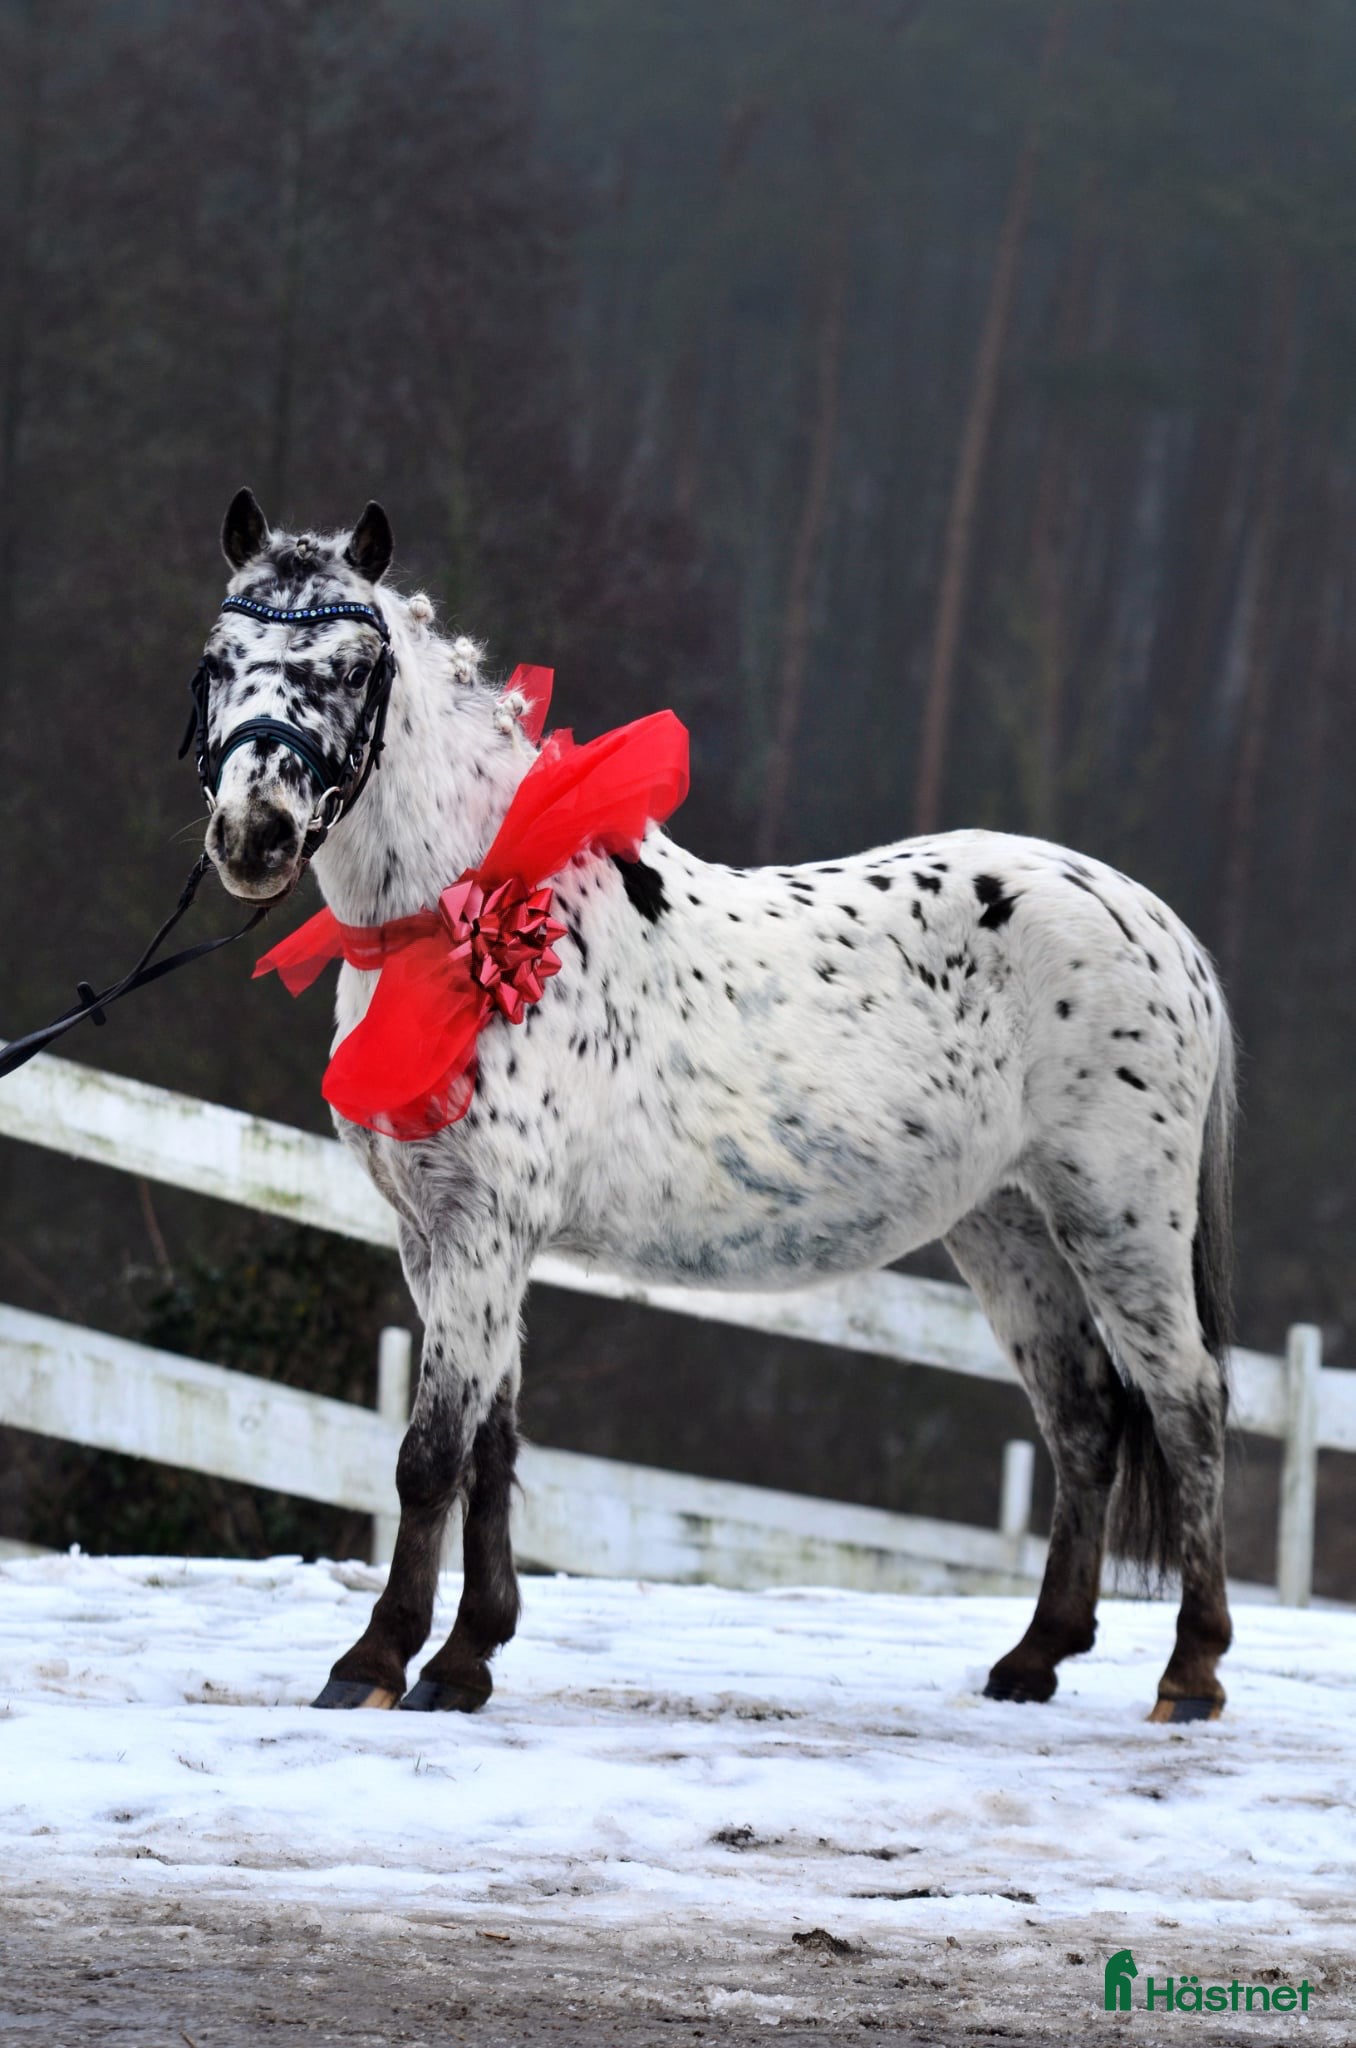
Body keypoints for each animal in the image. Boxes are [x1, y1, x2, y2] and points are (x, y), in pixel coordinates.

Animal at [197, 487, 1236, 1723]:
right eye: (218, 658)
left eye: (356, 669)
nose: (252, 834)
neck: (473, 915)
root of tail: (1161, 927)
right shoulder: (442, 1238)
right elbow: (494, 1444)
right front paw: (469, 1655)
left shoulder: (484, 1230)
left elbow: (430, 1453)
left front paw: (379, 1660)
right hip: (1010, 1226)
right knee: (1082, 1418)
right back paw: (1035, 1657)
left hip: (1120, 1219)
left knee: (1188, 1405)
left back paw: (1192, 1671)